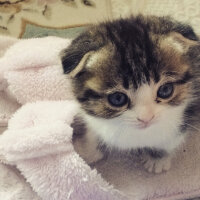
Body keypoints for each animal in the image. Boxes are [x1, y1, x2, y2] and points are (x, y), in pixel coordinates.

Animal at [60, 14, 200, 173]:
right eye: (118, 98)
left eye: (165, 90)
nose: (146, 118)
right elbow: (94, 133)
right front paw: (88, 151)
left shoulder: (186, 114)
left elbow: (170, 140)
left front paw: (158, 159)